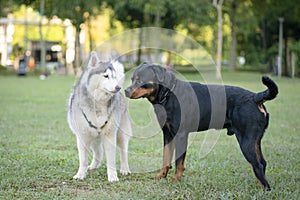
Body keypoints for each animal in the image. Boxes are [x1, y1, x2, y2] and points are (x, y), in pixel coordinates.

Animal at [68, 51, 131, 181]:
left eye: (114, 77)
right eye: (105, 76)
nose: (118, 87)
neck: (98, 101)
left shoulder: (110, 135)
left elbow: (111, 160)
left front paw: (112, 176)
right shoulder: (83, 136)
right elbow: (83, 159)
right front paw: (81, 174)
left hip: (121, 134)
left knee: (123, 153)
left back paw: (125, 169)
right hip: (93, 137)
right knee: (98, 152)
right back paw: (93, 166)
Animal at [123, 62, 276, 191]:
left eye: (140, 81)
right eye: (132, 79)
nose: (126, 91)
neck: (169, 94)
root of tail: (255, 97)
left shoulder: (181, 134)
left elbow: (179, 161)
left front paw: (176, 179)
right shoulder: (167, 134)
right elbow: (166, 157)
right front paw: (162, 175)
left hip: (246, 140)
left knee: (257, 164)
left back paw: (265, 189)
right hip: (255, 140)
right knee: (263, 162)